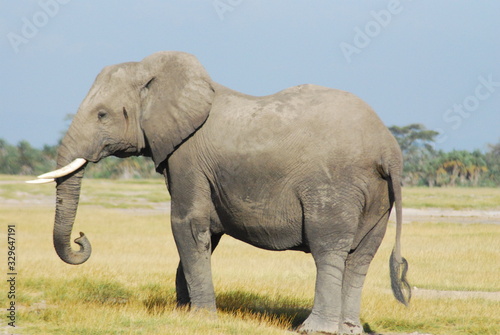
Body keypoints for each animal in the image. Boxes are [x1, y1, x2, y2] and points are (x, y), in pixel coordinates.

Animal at [28, 51, 410, 334]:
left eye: (102, 115)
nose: (81, 238)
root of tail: (388, 148)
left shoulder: (188, 158)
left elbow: (186, 224)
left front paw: (198, 318)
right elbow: (204, 235)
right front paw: (182, 314)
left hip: (335, 186)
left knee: (328, 247)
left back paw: (315, 329)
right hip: (375, 195)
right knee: (361, 255)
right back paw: (349, 329)